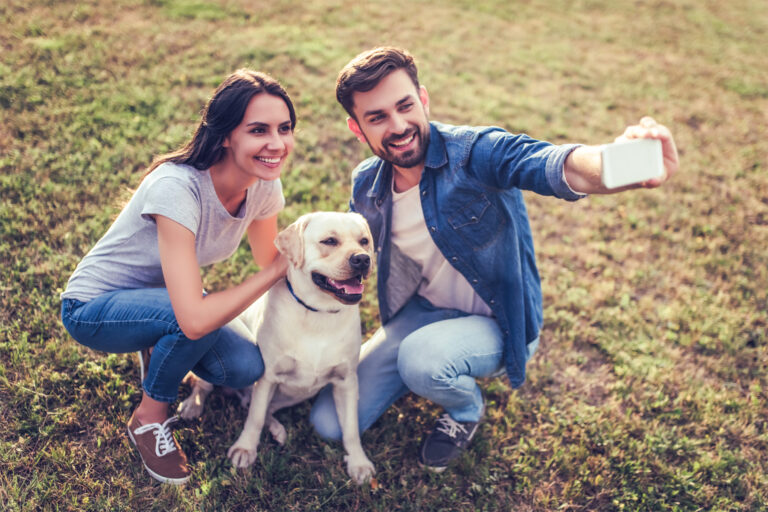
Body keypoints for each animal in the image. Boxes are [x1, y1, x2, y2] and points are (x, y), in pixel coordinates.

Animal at [179, 211, 376, 484]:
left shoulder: (346, 381)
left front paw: (358, 462)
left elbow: (351, 429)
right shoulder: (268, 376)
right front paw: (245, 449)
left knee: (263, 409)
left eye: (364, 241)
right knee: (208, 387)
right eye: (329, 241)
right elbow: (254, 417)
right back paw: (193, 404)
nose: (362, 259)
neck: (318, 314)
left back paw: (276, 429)